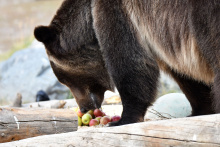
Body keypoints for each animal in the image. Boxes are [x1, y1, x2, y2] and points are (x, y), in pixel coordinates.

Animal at [33, 0, 219, 126]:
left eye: (65, 80)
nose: (84, 108)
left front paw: (122, 119)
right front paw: (200, 111)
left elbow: (129, 65)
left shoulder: (117, 12)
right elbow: (187, 76)